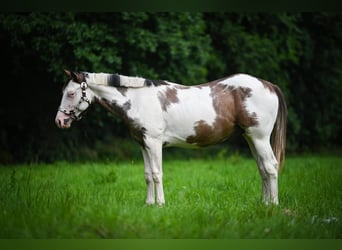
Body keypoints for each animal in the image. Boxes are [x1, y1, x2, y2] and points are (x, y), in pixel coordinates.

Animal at [55, 70, 286, 205]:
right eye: (64, 91)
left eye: (71, 93)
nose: (60, 121)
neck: (138, 100)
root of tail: (269, 85)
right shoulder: (142, 144)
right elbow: (147, 174)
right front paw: (149, 204)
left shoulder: (154, 143)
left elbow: (157, 174)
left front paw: (161, 204)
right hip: (251, 138)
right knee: (262, 169)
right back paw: (264, 203)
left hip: (260, 138)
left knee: (271, 167)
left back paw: (273, 205)